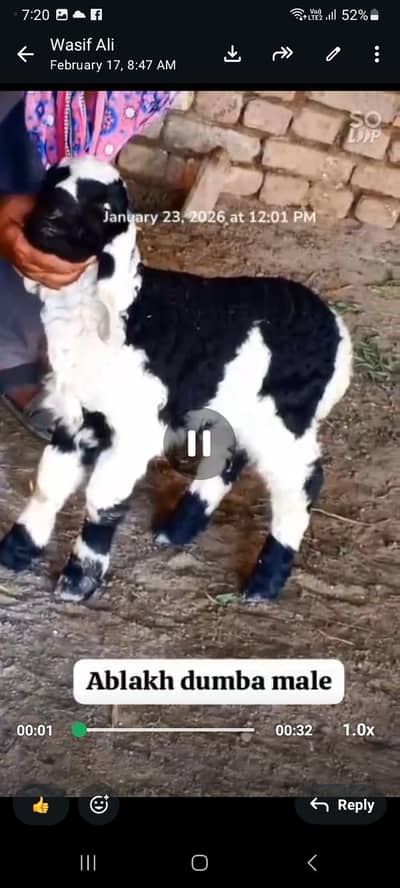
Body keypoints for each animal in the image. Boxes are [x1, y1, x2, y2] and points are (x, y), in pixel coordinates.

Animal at [0, 156, 352, 603]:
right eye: (50, 183)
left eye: (104, 209)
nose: (49, 219)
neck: (125, 313)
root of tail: (338, 330)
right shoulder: (77, 419)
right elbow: (49, 484)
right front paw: (16, 550)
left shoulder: (134, 430)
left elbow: (103, 501)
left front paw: (79, 579)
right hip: (240, 406)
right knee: (230, 457)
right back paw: (178, 529)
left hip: (286, 417)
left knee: (302, 482)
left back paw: (265, 582)